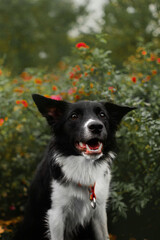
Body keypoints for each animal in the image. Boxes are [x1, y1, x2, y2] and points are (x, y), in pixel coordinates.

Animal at [13, 94, 135, 240]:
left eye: (102, 115)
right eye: (74, 116)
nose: (96, 126)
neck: (84, 166)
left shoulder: (99, 210)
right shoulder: (55, 214)